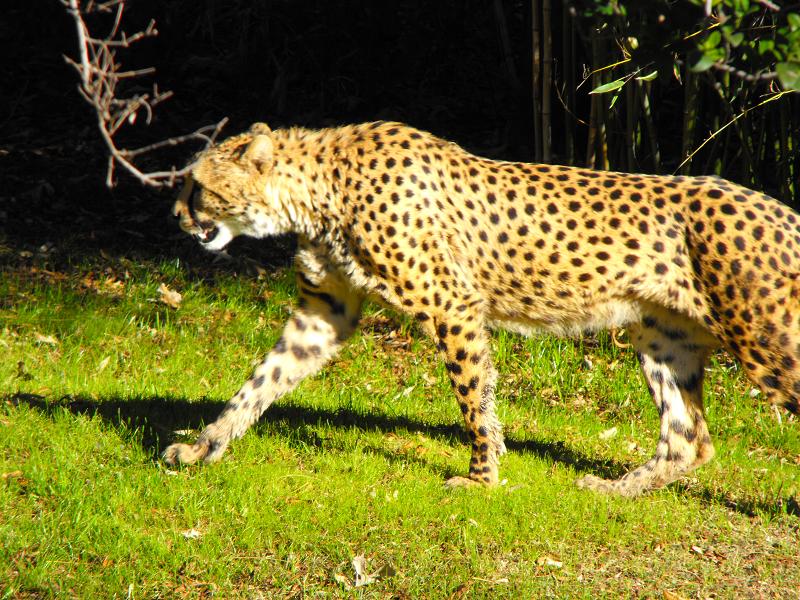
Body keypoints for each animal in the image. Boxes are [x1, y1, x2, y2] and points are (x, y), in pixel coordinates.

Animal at [163, 120, 800, 496]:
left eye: (198, 186)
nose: (174, 216)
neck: (318, 188)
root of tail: (778, 206)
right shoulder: (323, 315)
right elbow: (260, 383)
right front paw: (203, 446)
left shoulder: (453, 305)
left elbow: (474, 401)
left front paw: (483, 477)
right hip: (664, 339)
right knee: (689, 439)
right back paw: (615, 489)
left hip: (769, 344)